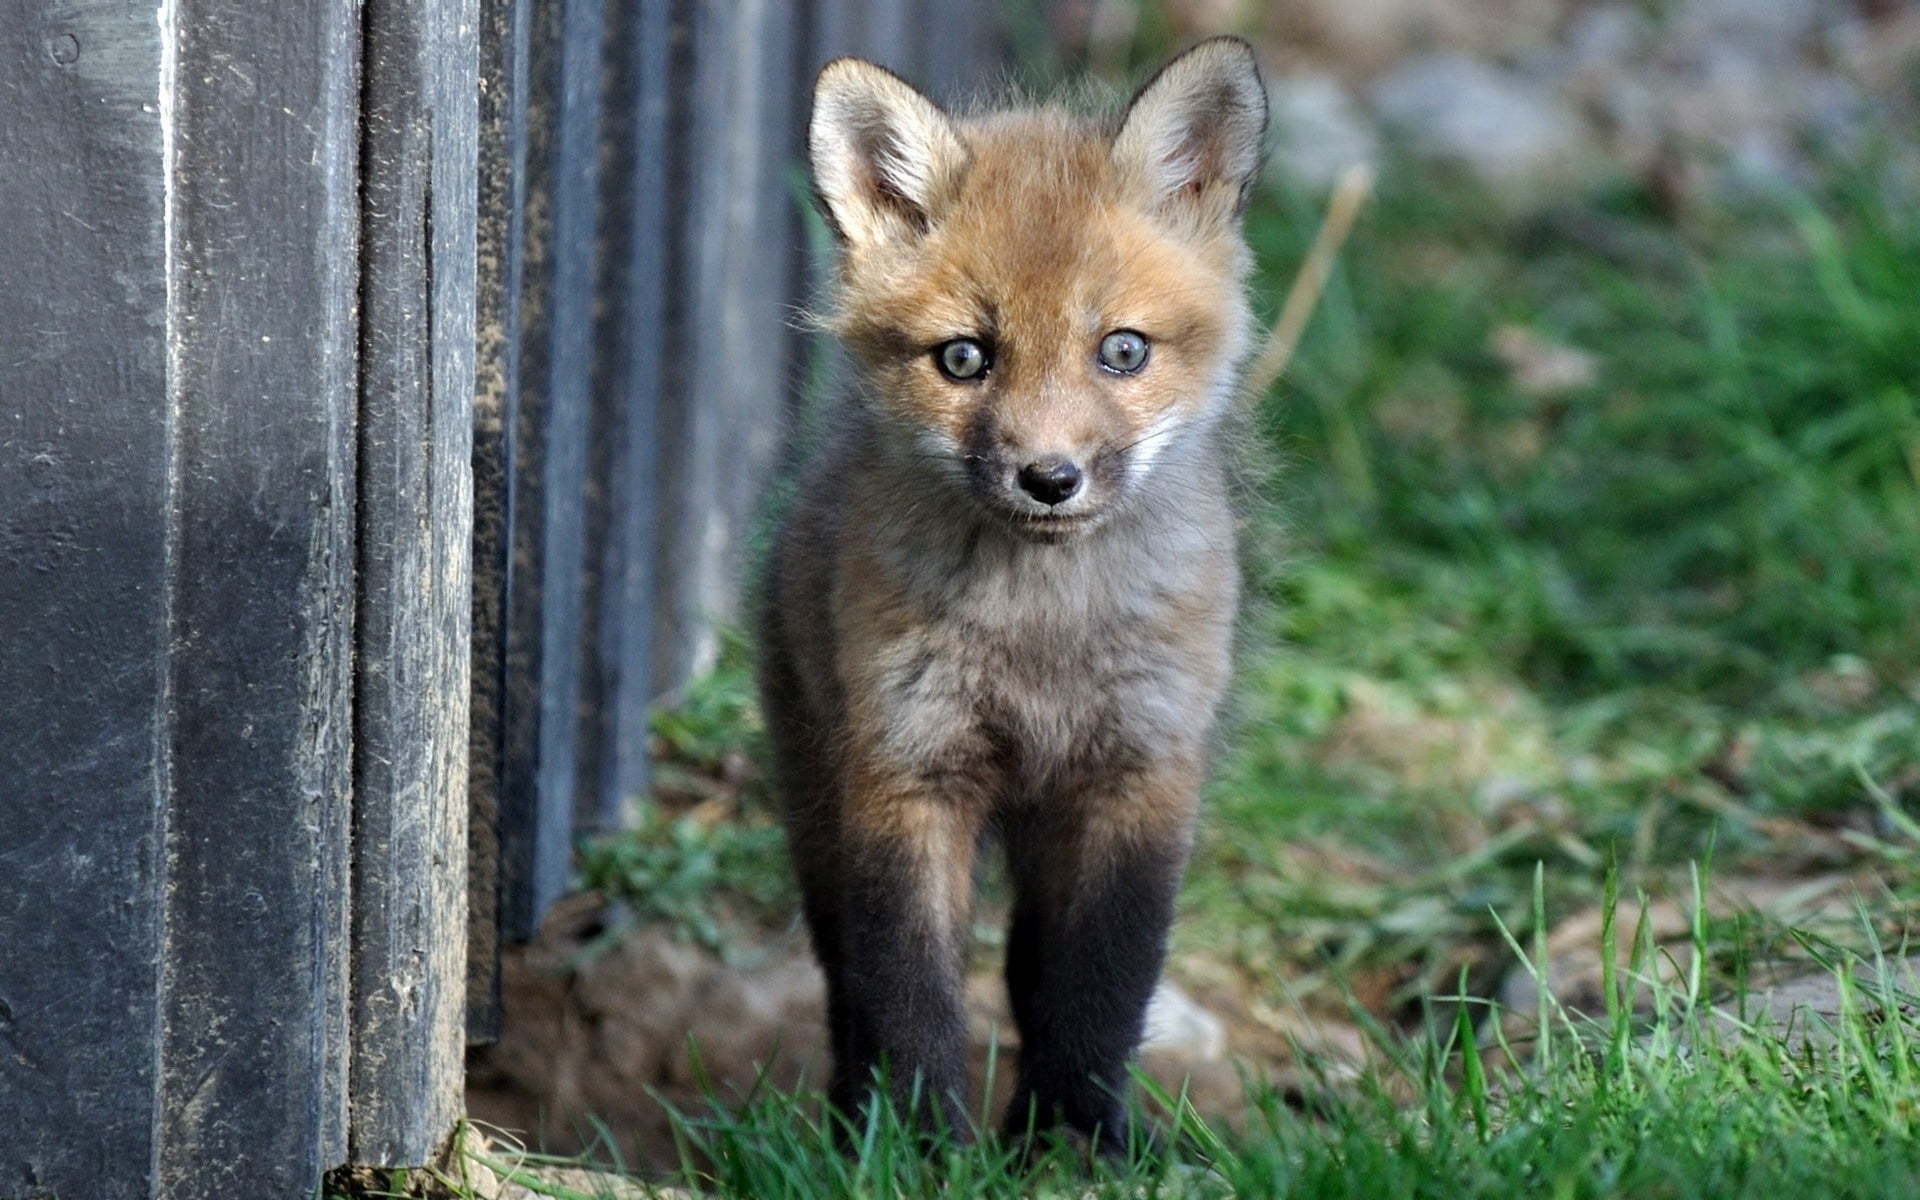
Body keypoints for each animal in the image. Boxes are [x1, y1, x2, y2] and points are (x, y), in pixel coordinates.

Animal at [756, 37, 1268, 1154]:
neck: (1042, 639)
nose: (1049, 478)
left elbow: (1099, 988)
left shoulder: (1138, 777)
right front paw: (916, 1148)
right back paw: (848, 1122)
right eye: (965, 357)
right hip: (816, 795)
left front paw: (1076, 1142)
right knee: (844, 976)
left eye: (1122, 350)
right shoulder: (906, 772)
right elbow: (906, 989)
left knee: (1035, 972)